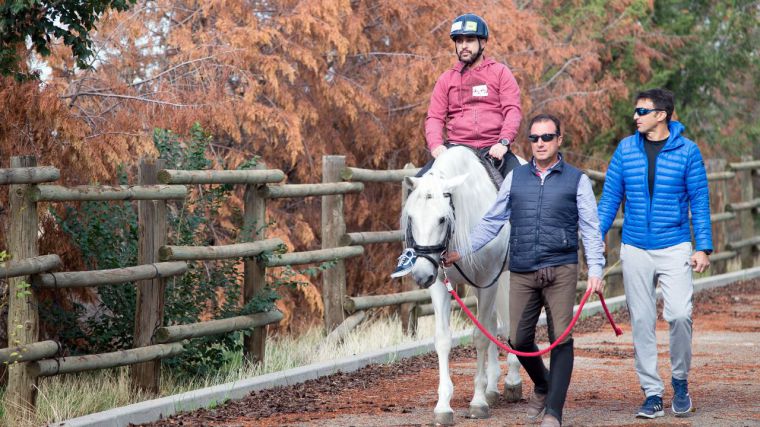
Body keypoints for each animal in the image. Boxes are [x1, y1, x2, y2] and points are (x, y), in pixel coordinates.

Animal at [404, 146, 524, 424]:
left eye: (441, 219)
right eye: (411, 217)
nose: (421, 275)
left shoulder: (488, 280)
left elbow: (480, 337)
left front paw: (478, 402)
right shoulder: (440, 284)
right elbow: (444, 339)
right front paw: (443, 406)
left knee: (507, 324)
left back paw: (512, 382)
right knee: (492, 324)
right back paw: (492, 388)